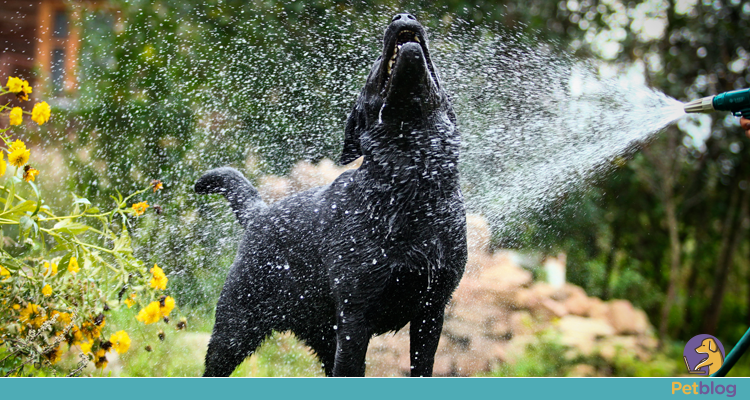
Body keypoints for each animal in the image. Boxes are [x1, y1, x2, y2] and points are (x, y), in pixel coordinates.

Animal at [195, 11, 464, 376]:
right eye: (375, 61)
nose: (403, 14)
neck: (410, 185)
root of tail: (258, 214)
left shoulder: (431, 311)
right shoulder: (355, 317)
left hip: (322, 335)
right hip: (235, 330)